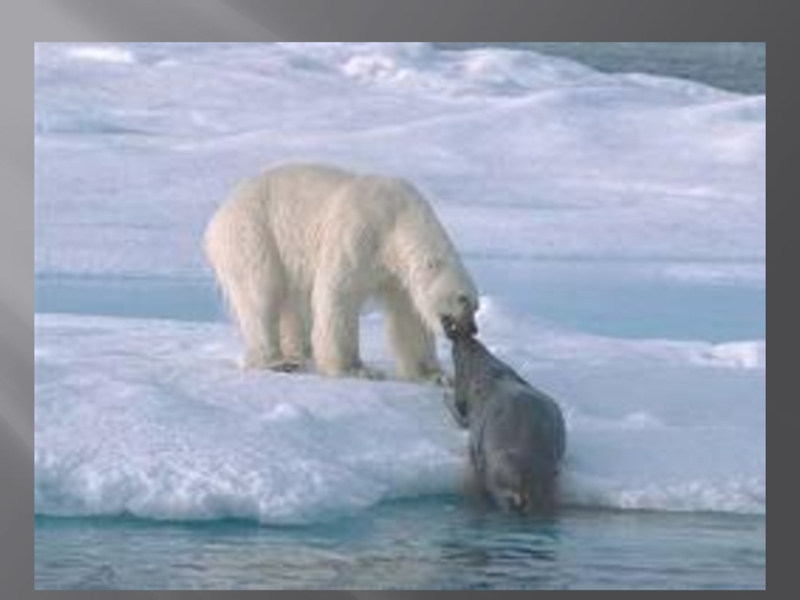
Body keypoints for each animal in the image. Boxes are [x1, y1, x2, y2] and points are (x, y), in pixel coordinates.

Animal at [208, 164, 482, 380]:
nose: (472, 329)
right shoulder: (361, 232)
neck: (397, 217)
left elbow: (408, 316)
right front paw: (357, 369)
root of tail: (216, 219)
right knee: (259, 293)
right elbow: (339, 294)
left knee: (293, 301)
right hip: (254, 233)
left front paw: (434, 375)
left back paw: (301, 353)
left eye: (476, 305)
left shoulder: (397, 276)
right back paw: (276, 362)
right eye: (462, 299)